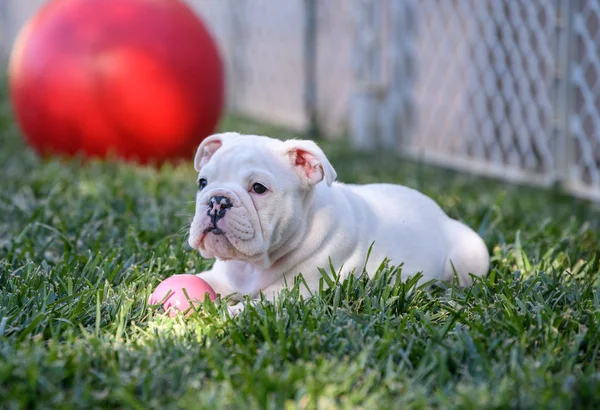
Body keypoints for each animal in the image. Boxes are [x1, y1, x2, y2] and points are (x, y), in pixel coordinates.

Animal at [188, 133, 488, 310]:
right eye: (202, 183)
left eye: (259, 188)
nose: (217, 201)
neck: (251, 267)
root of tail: (440, 212)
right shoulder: (221, 277)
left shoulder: (289, 294)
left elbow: (247, 308)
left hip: (473, 255)